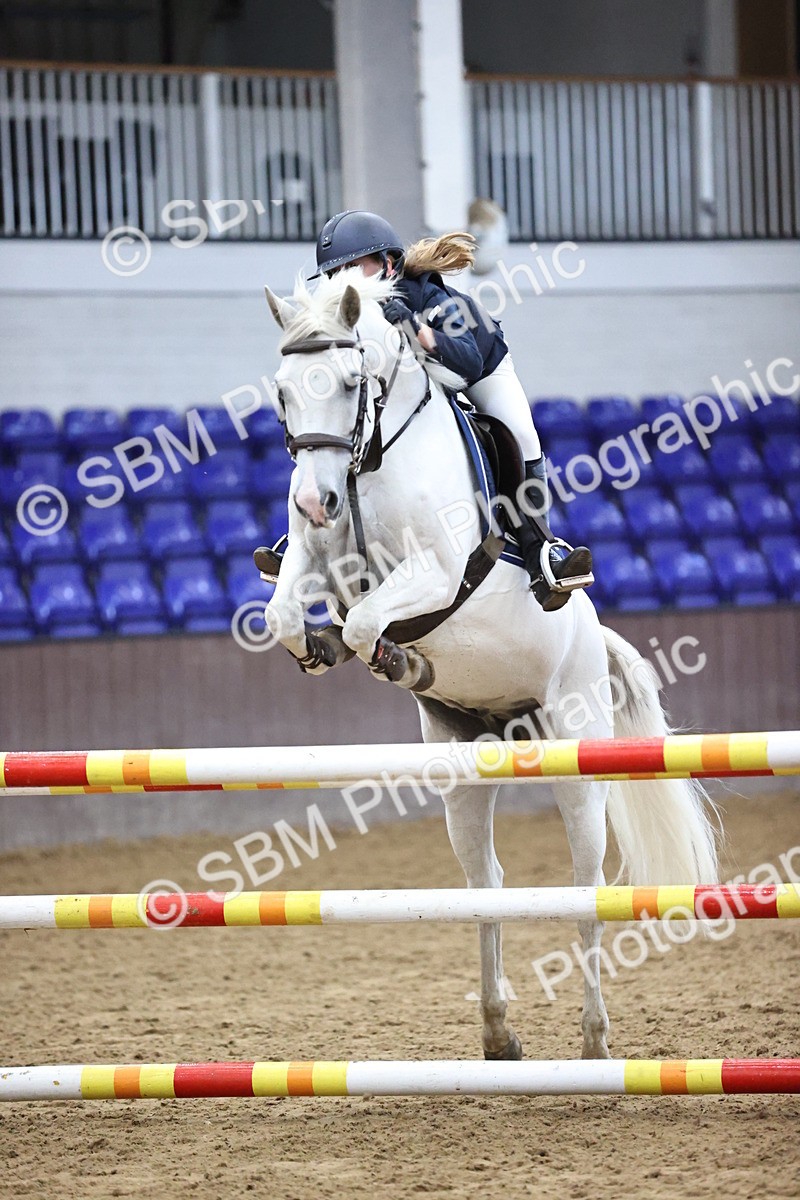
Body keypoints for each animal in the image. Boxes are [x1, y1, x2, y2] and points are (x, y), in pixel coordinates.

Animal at [261, 268, 719, 1061]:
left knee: (584, 883)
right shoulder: (317, 561)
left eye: (350, 382)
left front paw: (395, 658)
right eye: (284, 393)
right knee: (487, 882)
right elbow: (287, 616)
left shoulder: (439, 573)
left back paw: (595, 1041)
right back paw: (499, 1032)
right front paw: (331, 648)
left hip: (576, 751)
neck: (371, 458)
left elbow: (367, 620)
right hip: (463, 767)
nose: (315, 502)